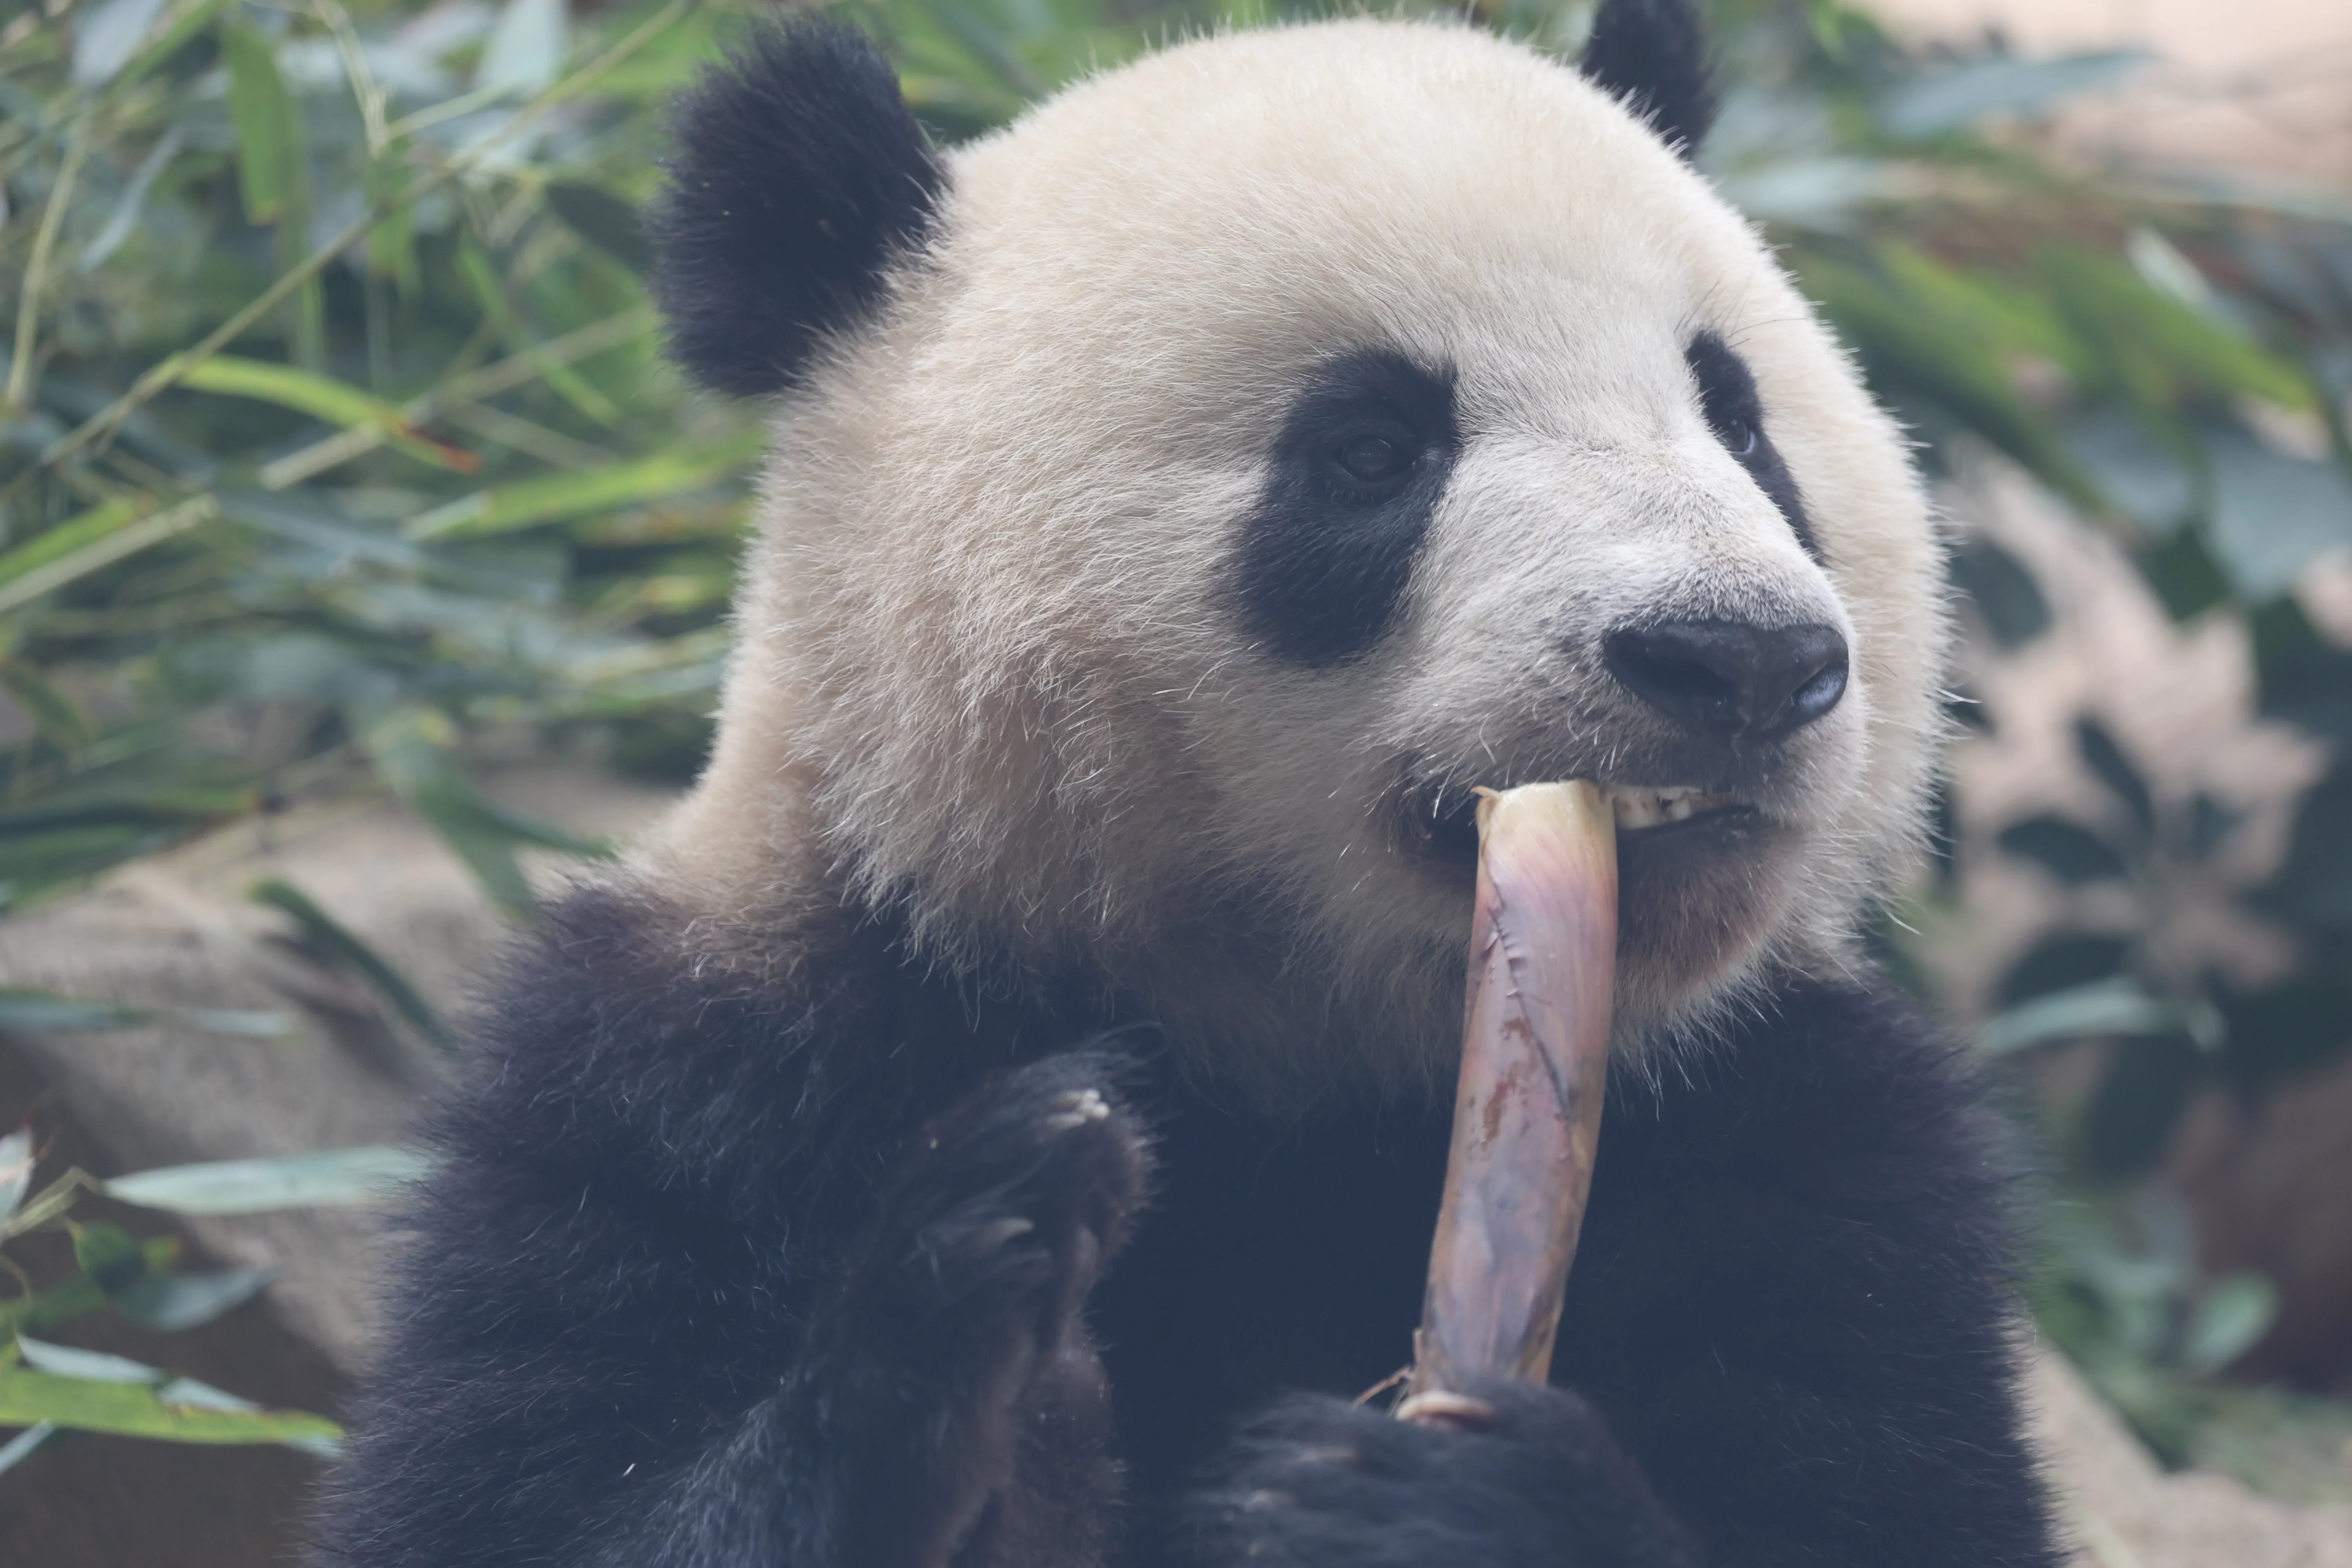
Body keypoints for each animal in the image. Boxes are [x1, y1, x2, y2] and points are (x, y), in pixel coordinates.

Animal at [317, 5, 2064, 1566]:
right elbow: (526, 1501)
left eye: (1740, 419)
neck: (1292, 1045)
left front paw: (1418, 1495)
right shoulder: (686, 1072)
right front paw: (990, 1290)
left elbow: (1894, 1505)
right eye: (1369, 448)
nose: (1739, 658)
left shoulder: (1808, 1146)